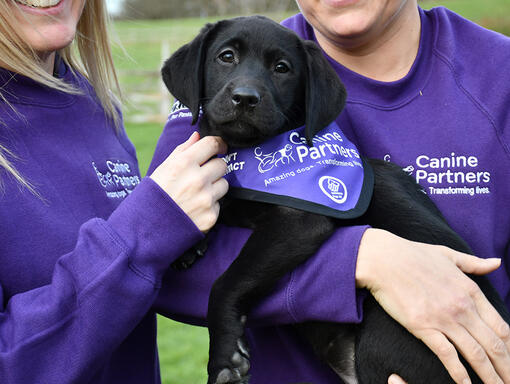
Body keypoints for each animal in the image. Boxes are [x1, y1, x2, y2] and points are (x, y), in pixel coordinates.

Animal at [162, 15, 510, 384]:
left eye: (282, 68)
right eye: (226, 57)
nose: (245, 98)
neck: (249, 152)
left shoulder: (299, 223)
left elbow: (226, 281)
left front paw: (225, 356)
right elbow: (219, 197)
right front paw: (188, 239)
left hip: (389, 331)